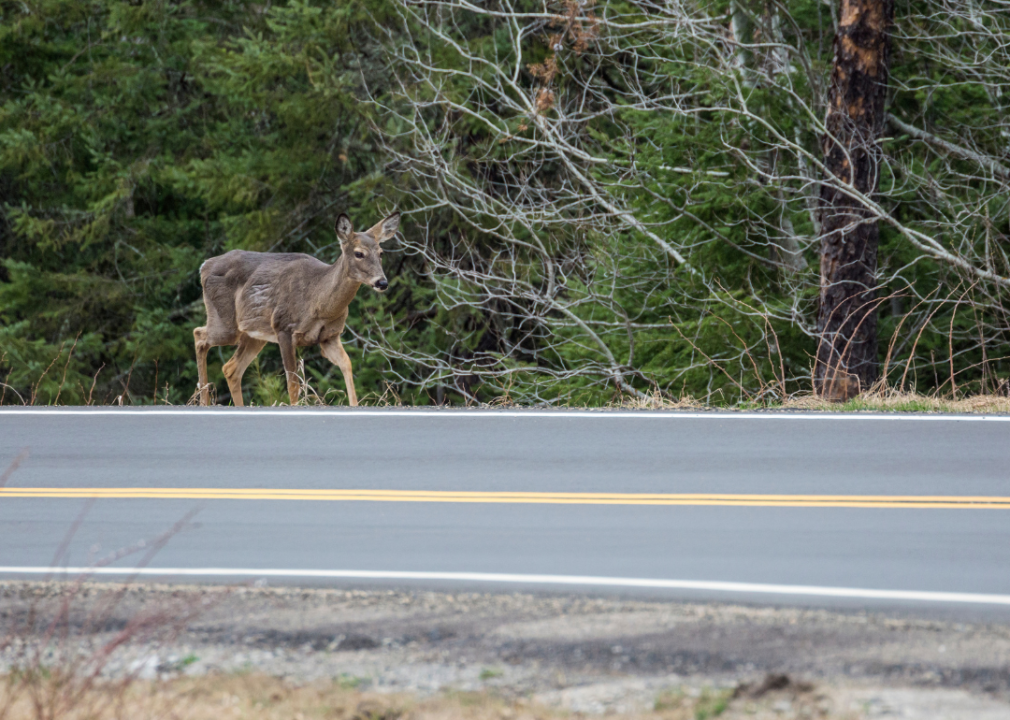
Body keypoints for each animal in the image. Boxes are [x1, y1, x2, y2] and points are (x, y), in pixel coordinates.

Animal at [192, 211, 397, 407]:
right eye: (359, 253)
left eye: (381, 252)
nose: (382, 282)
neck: (320, 304)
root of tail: (204, 266)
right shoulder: (284, 327)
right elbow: (293, 383)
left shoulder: (329, 336)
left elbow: (347, 365)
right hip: (227, 324)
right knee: (199, 335)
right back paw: (203, 401)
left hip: (255, 333)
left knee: (230, 368)